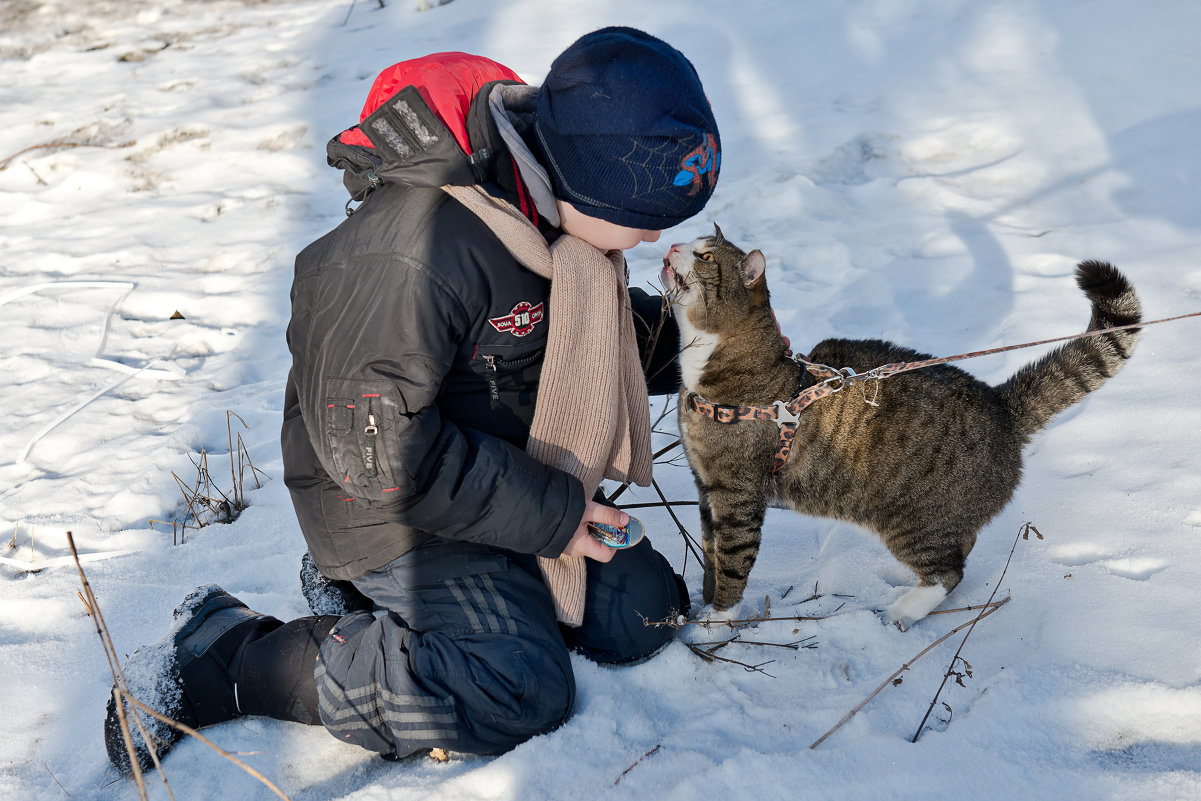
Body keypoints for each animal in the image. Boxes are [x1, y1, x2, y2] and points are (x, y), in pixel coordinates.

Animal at [667, 222, 1143, 629]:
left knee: (950, 571)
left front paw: (717, 620)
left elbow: (733, 558)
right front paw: (704, 599)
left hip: (914, 522)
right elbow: (710, 549)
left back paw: (904, 609)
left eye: (705, 256)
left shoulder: (737, 493)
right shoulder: (705, 486)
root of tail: (1001, 406)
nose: (671, 245)